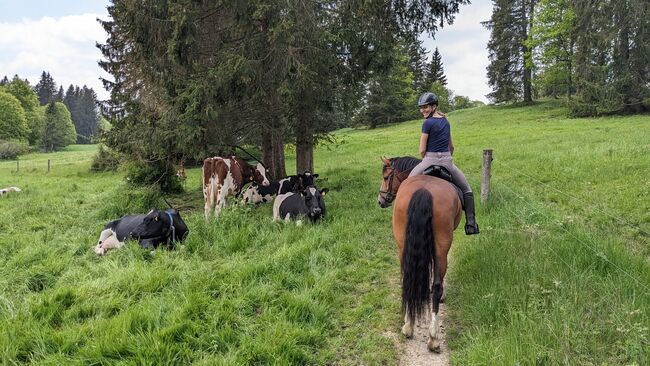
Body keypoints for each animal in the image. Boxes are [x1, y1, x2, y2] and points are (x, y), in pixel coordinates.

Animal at [378, 156, 464, 354]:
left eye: (386, 177)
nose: (380, 200)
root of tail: (424, 190)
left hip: (402, 245)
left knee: (407, 280)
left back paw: (408, 326)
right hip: (441, 247)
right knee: (437, 284)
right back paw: (433, 338)